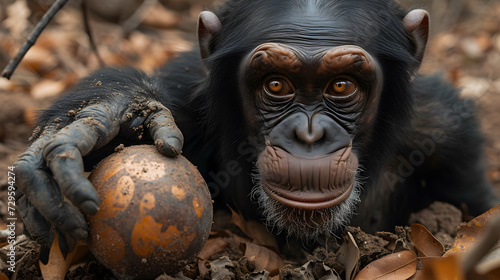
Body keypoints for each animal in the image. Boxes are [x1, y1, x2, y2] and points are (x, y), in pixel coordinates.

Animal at [13, 0, 500, 258]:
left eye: (341, 86)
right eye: (276, 85)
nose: (309, 136)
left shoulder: (448, 134)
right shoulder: (185, 98)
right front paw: (104, 116)